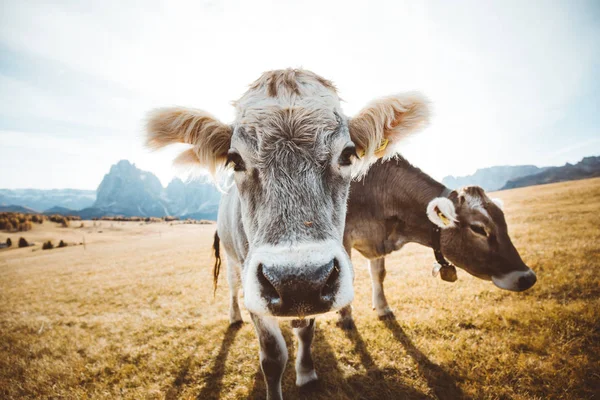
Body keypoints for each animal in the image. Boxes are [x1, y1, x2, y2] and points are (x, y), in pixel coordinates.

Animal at [150, 69, 432, 400]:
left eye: (347, 155)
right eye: (235, 160)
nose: (297, 281)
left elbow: (306, 333)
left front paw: (307, 373)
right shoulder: (254, 288)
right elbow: (272, 357)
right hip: (233, 263)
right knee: (232, 288)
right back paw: (234, 316)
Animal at [338, 156, 540, 328]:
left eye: (504, 222)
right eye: (478, 228)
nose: (528, 277)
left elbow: (379, 274)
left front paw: (382, 308)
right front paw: (345, 316)